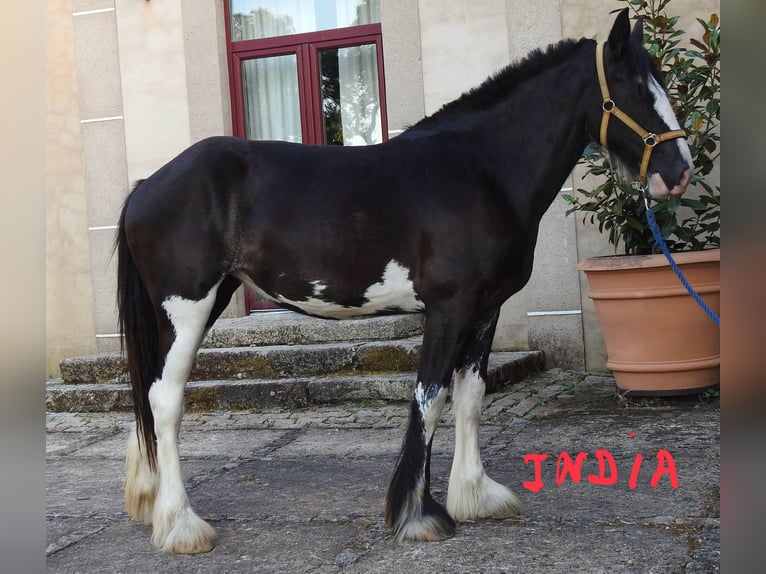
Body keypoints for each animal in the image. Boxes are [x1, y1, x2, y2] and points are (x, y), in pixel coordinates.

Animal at [115, 9, 696, 556]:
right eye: (635, 87)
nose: (680, 171)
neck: (482, 169)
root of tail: (147, 185)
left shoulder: (485, 311)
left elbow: (470, 398)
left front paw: (476, 495)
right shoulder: (448, 309)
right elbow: (429, 398)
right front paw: (418, 515)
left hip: (209, 300)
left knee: (150, 392)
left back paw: (152, 503)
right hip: (187, 306)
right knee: (166, 399)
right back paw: (181, 525)